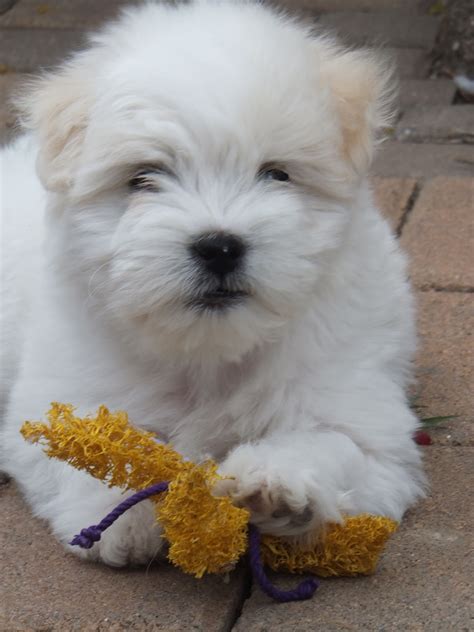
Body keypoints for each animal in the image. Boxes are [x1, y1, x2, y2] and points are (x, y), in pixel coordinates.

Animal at [0, 1, 426, 568]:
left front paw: (278, 484)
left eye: (276, 174)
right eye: (143, 177)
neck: (210, 352)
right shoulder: (62, 387)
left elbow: (333, 444)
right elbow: (86, 444)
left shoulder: (364, 419)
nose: (219, 246)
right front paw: (120, 515)